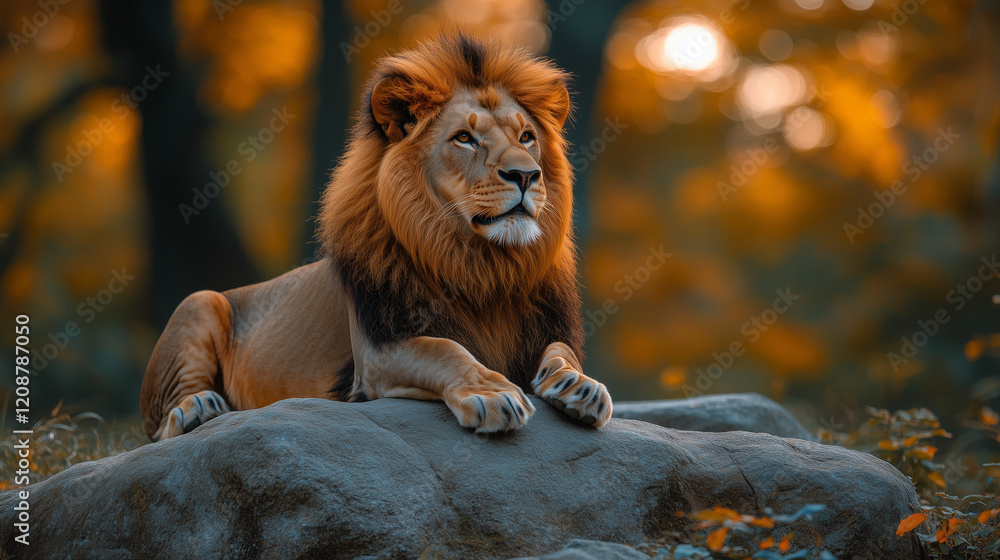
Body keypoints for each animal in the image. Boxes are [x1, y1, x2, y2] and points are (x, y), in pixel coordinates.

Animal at [140, 35, 613, 441]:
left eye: (527, 137)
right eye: (464, 138)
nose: (526, 175)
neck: (482, 264)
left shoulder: (546, 328)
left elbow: (561, 351)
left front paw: (579, 384)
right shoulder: (376, 355)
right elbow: (444, 349)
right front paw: (492, 394)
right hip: (200, 302)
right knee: (161, 427)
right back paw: (198, 410)